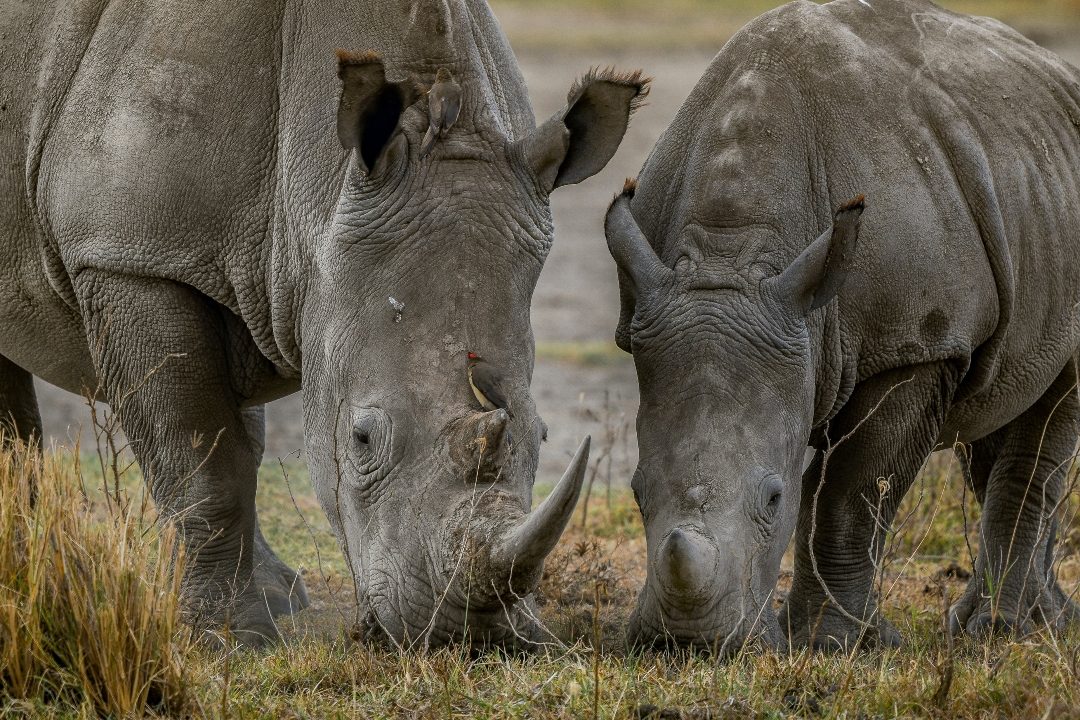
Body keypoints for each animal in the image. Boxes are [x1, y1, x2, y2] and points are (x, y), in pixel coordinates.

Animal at [0, 0, 648, 647]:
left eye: (542, 436)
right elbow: (198, 457)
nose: (469, 634)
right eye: (360, 439)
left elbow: (237, 447)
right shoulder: (129, 256)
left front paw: (270, 604)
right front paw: (230, 634)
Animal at [604, 0, 1080, 651]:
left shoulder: (914, 344)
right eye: (636, 491)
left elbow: (848, 495)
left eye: (773, 498)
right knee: (999, 399)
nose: (686, 644)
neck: (732, 259)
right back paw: (1040, 623)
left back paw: (999, 634)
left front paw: (833, 645)